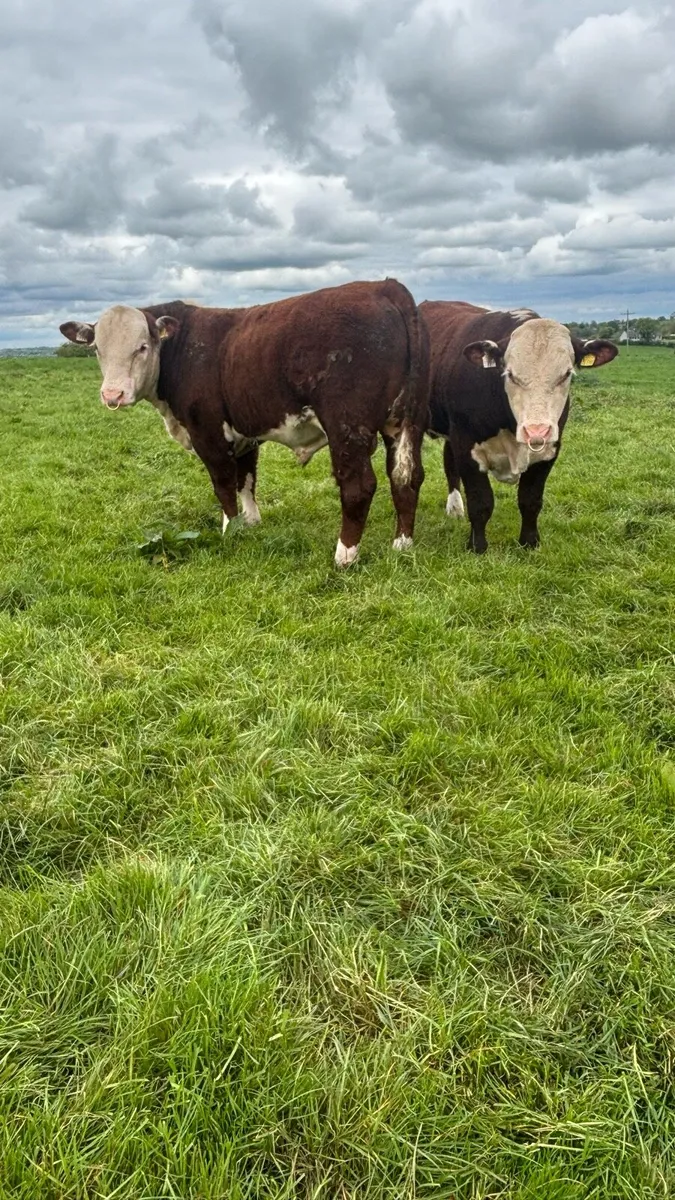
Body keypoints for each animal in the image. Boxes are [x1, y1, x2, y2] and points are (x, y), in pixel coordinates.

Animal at [60, 280, 429, 567]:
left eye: (142, 347)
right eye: (97, 349)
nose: (113, 394)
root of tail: (384, 287)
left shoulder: (207, 431)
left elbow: (223, 483)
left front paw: (230, 529)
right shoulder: (245, 432)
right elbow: (246, 478)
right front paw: (251, 521)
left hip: (347, 425)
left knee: (358, 486)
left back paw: (345, 556)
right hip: (403, 423)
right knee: (405, 476)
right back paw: (402, 544)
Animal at [420, 302, 618, 553]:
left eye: (566, 374)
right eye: (510, 374)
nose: (536, 431)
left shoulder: (549, 451)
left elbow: (530, 500)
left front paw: (529, 542)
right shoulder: (466, 445)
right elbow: (481, 502)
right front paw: (477, 546)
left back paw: (455, 508)